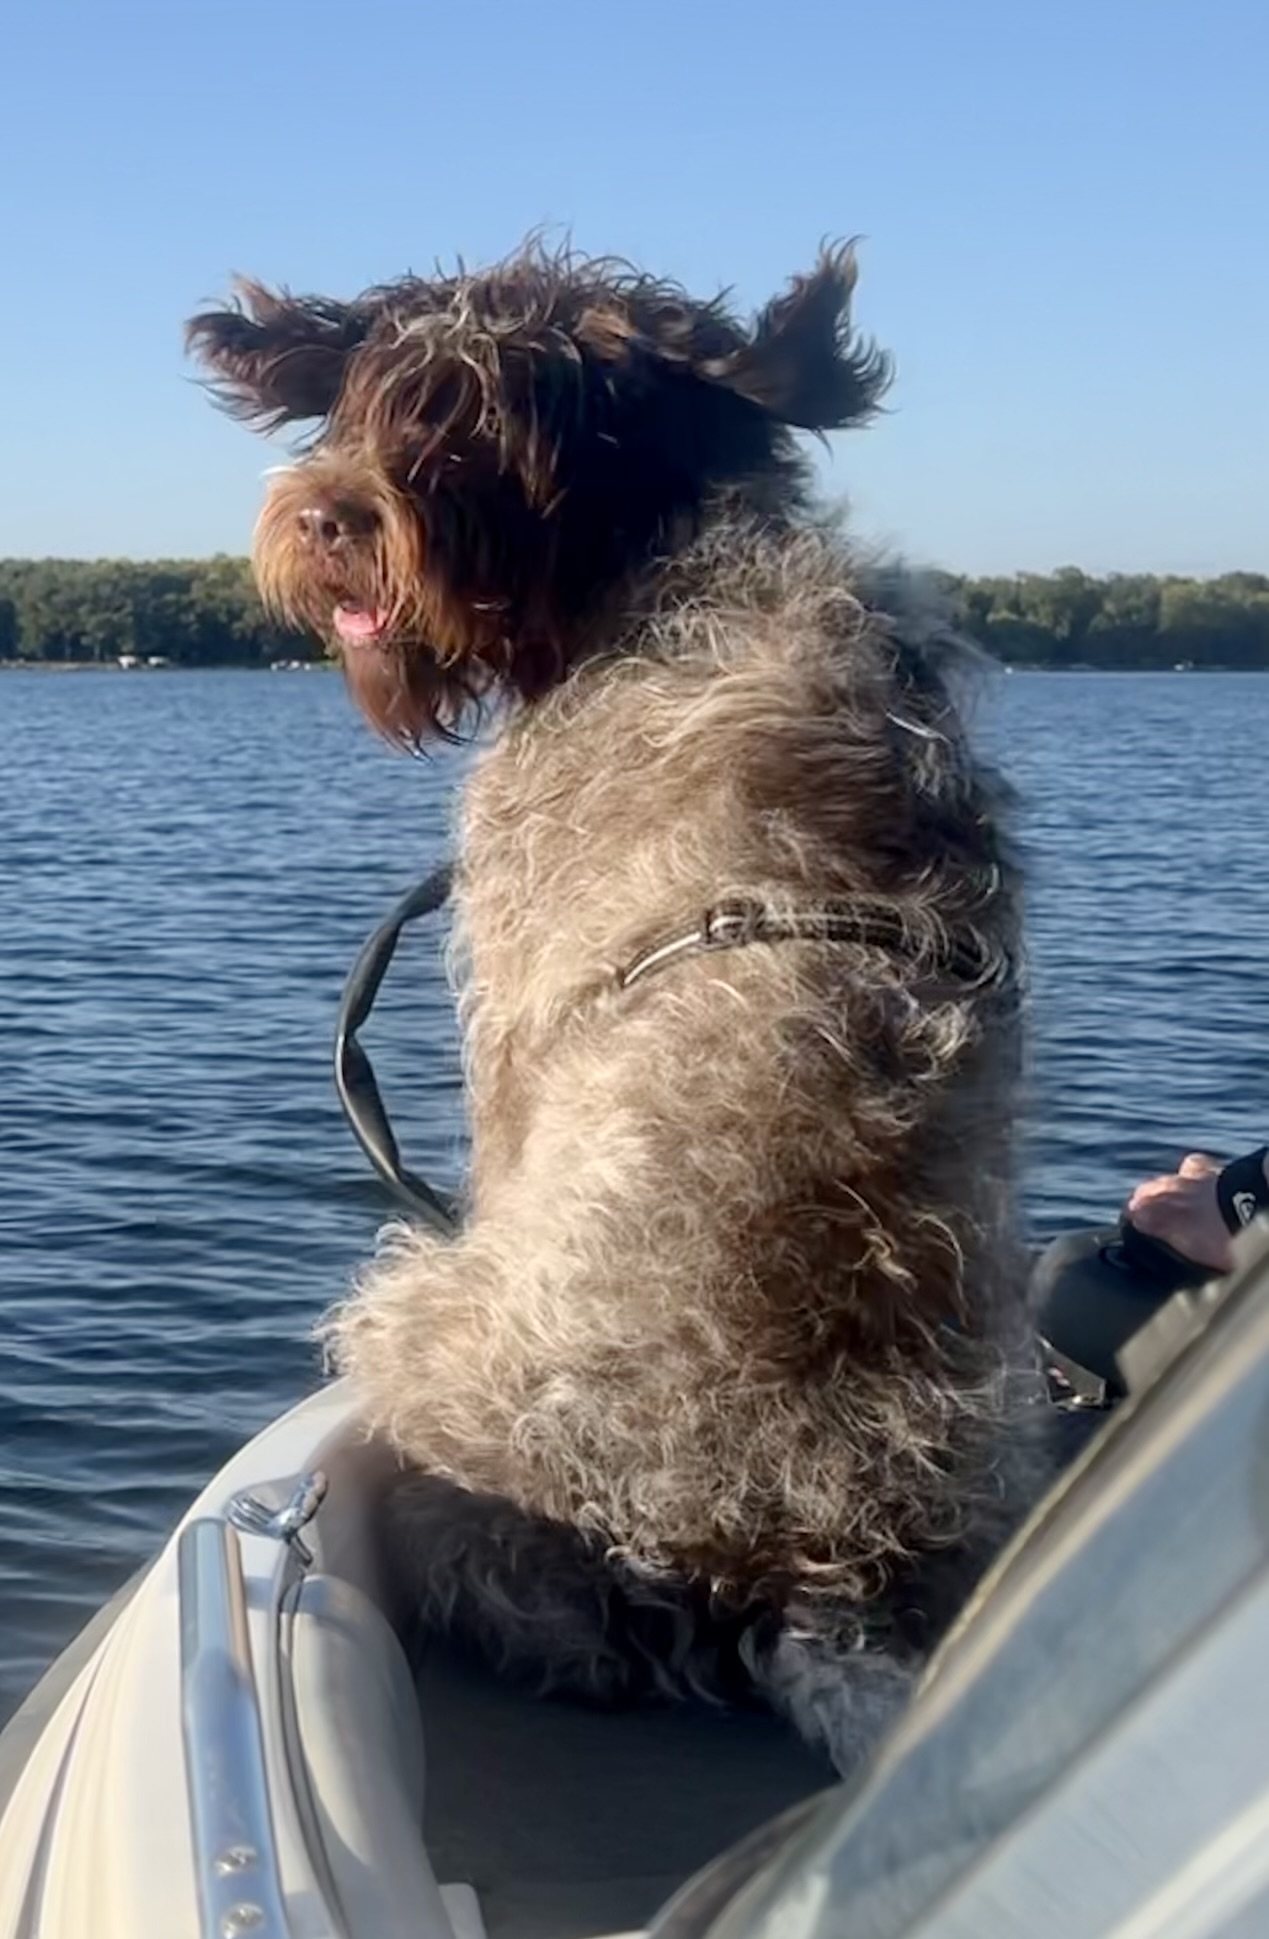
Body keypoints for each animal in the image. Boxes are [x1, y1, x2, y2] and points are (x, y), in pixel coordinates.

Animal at [187, 241, 1058, 1773]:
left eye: (483, 428)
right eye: (366, 395)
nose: (332, 518)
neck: (667, 564)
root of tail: (814, 1570)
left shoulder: (503, 1014)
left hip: (411, 1313)